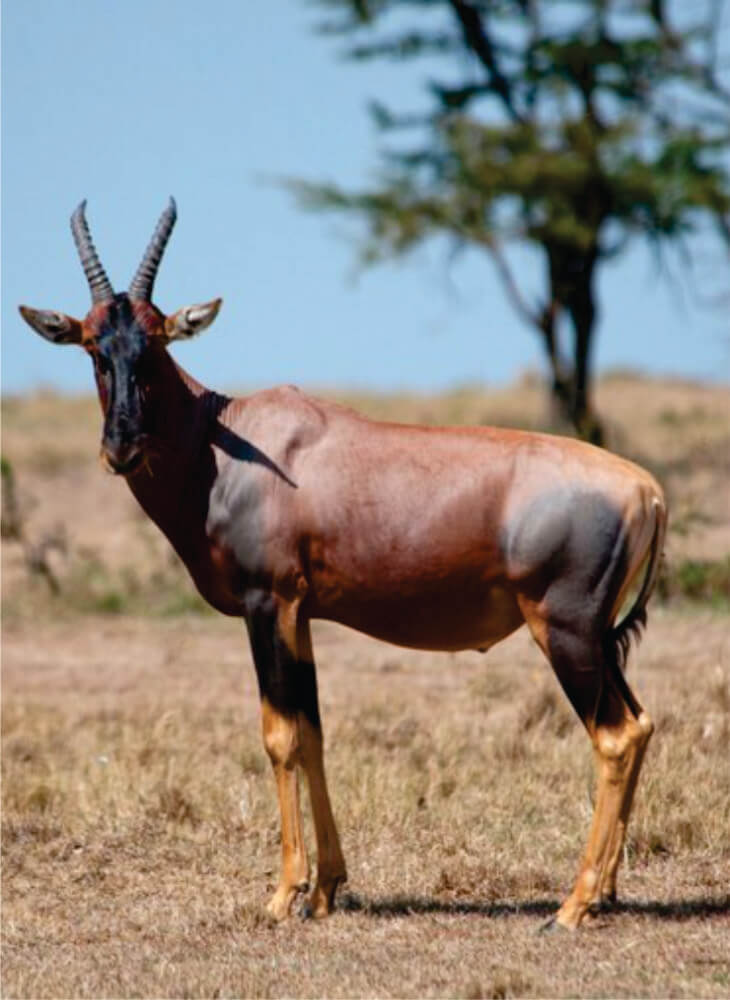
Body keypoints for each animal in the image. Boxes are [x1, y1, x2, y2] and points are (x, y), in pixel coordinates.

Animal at [19, 201, 664, 928]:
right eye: (93, 346)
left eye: (156, 342)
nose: (122, 446)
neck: (229, 439)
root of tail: (646, 488)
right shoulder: (301, 615)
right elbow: (313, 733)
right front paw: (325, 890)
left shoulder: (267, 604)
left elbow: (278, 735)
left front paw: (282, 894)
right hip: (599, 639)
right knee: (641, 724)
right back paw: (605, 890)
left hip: (566, 632)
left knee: (614, 736)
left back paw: (571, 906)